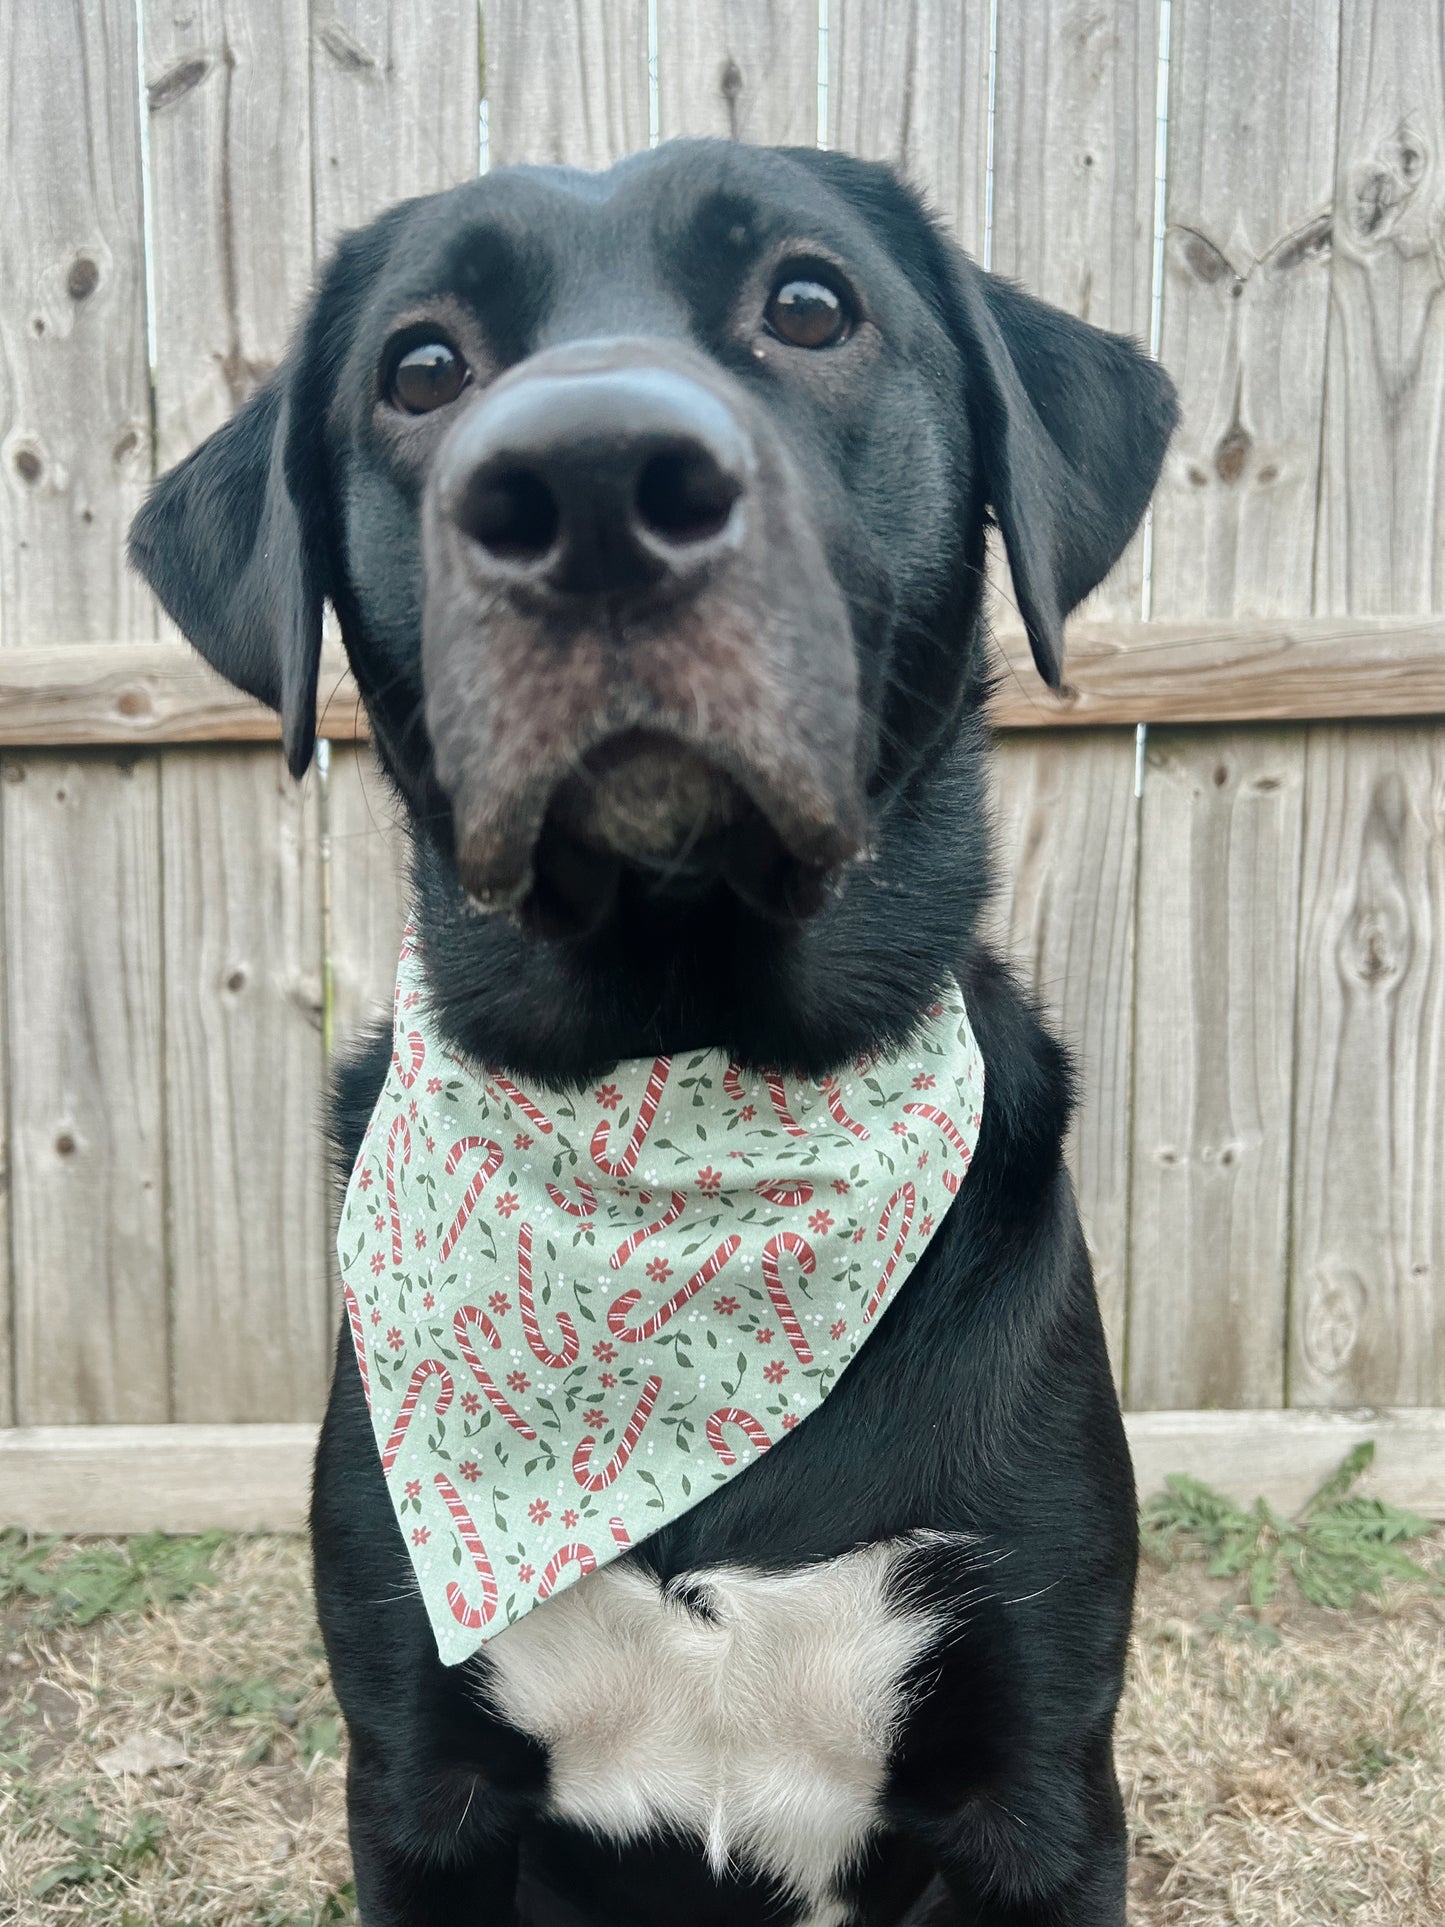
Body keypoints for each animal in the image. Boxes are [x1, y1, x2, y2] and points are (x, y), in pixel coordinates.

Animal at [132, 139, 1179, 1927]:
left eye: (809, 302)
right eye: (422, 366)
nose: (593, 481)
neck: (682, 1101)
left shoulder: (1038, 1786)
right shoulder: (416, 1784)